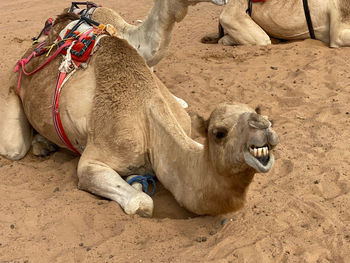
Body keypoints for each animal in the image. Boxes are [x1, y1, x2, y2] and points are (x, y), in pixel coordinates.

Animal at [0, 12, 278, 218]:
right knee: (14, 148)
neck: (148, 112)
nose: (264, 128)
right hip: (13, 85)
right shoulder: (95, 159)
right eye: (219, 132)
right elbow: (142, 203)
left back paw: (43, 144)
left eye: (260, 114)